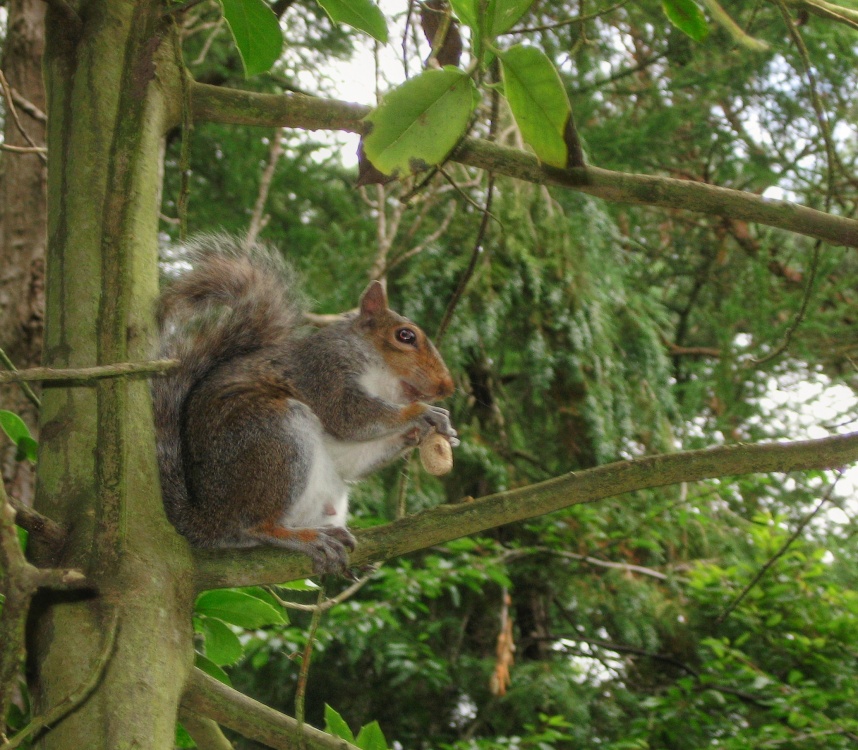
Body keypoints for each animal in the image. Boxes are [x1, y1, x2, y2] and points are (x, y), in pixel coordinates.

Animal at [152, 234, 457, 574]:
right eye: (405, 336)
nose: (447, 386)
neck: (376, 375)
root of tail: (207, 519)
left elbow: (351, 459)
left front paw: (427, 431)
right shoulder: (322, 372)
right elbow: (349, 415)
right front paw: (423, 414)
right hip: (273, 436)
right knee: (251, 526)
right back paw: (302, 538)